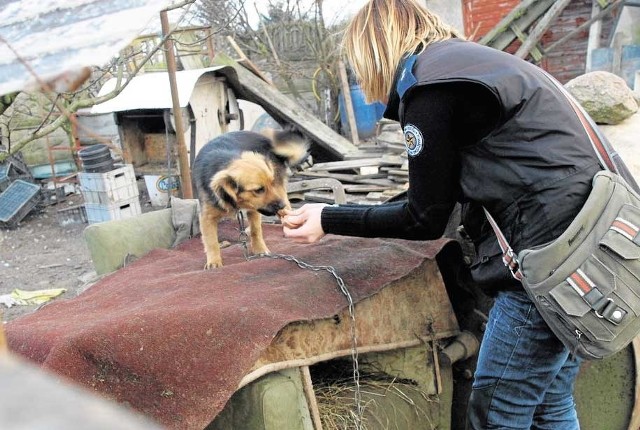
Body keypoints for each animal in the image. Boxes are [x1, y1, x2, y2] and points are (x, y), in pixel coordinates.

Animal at [192, 128, 308, 268]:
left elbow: (256, 230)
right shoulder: (207, 217)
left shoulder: (254, 208)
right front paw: (214, 262)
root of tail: (266, 139)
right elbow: (211, 241)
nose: (281, 206)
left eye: (271, 183)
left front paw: (260, 250)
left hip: (280, 190)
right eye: (259, 190)